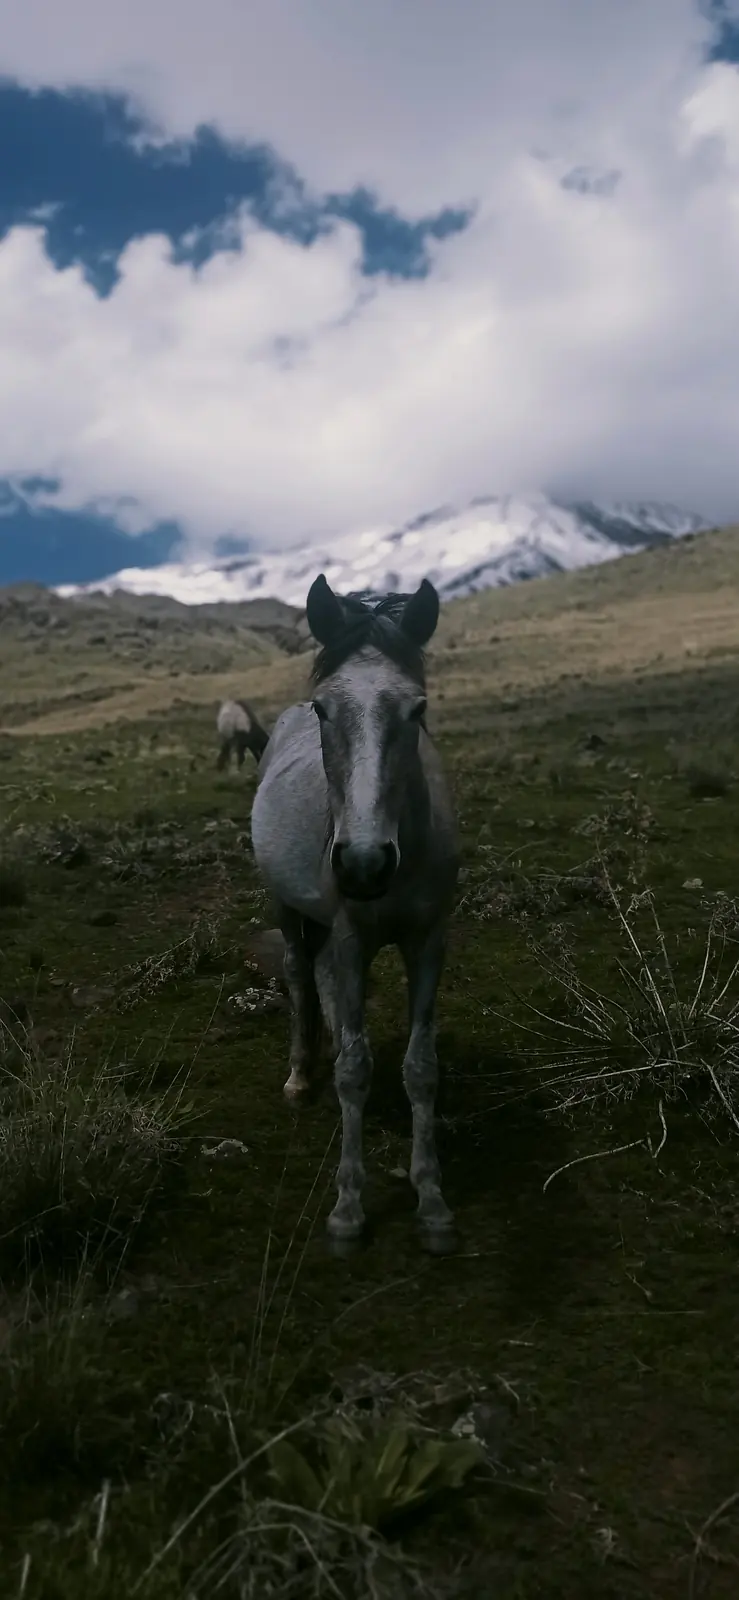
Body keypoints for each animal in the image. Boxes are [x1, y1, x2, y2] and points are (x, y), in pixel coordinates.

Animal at [250, 573, 460, 1251]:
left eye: (417, 709)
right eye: (324, 709)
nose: (364, 865)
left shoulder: (429, 940)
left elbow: (421, 1067)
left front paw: (432, 1201)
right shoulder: (349, 939)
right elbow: (354, 1070)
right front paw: (346, 1210)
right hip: (288, 907)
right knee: (298, 972)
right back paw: (298, 1075)